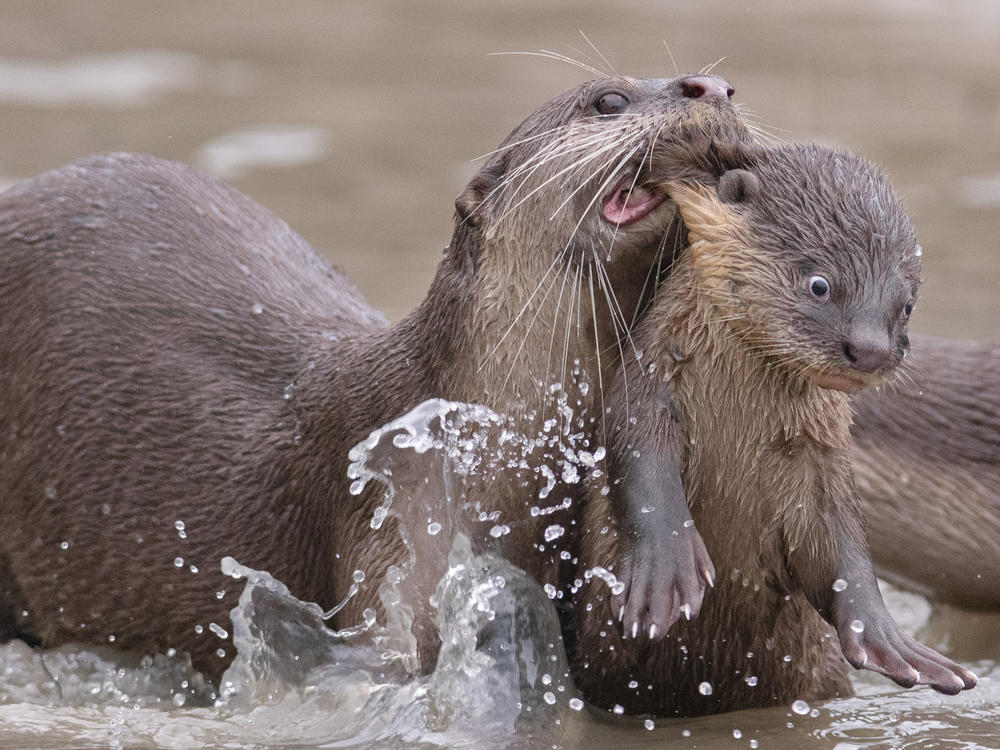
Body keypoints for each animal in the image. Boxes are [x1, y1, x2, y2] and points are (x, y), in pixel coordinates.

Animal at [572, 142, 976, 716]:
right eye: (820, 284)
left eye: (906, 305)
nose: (870, 350)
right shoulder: (648, 386)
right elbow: (640, 463)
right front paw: (665, 572)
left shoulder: (820, 454)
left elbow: (842, 545)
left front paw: (888, 639)